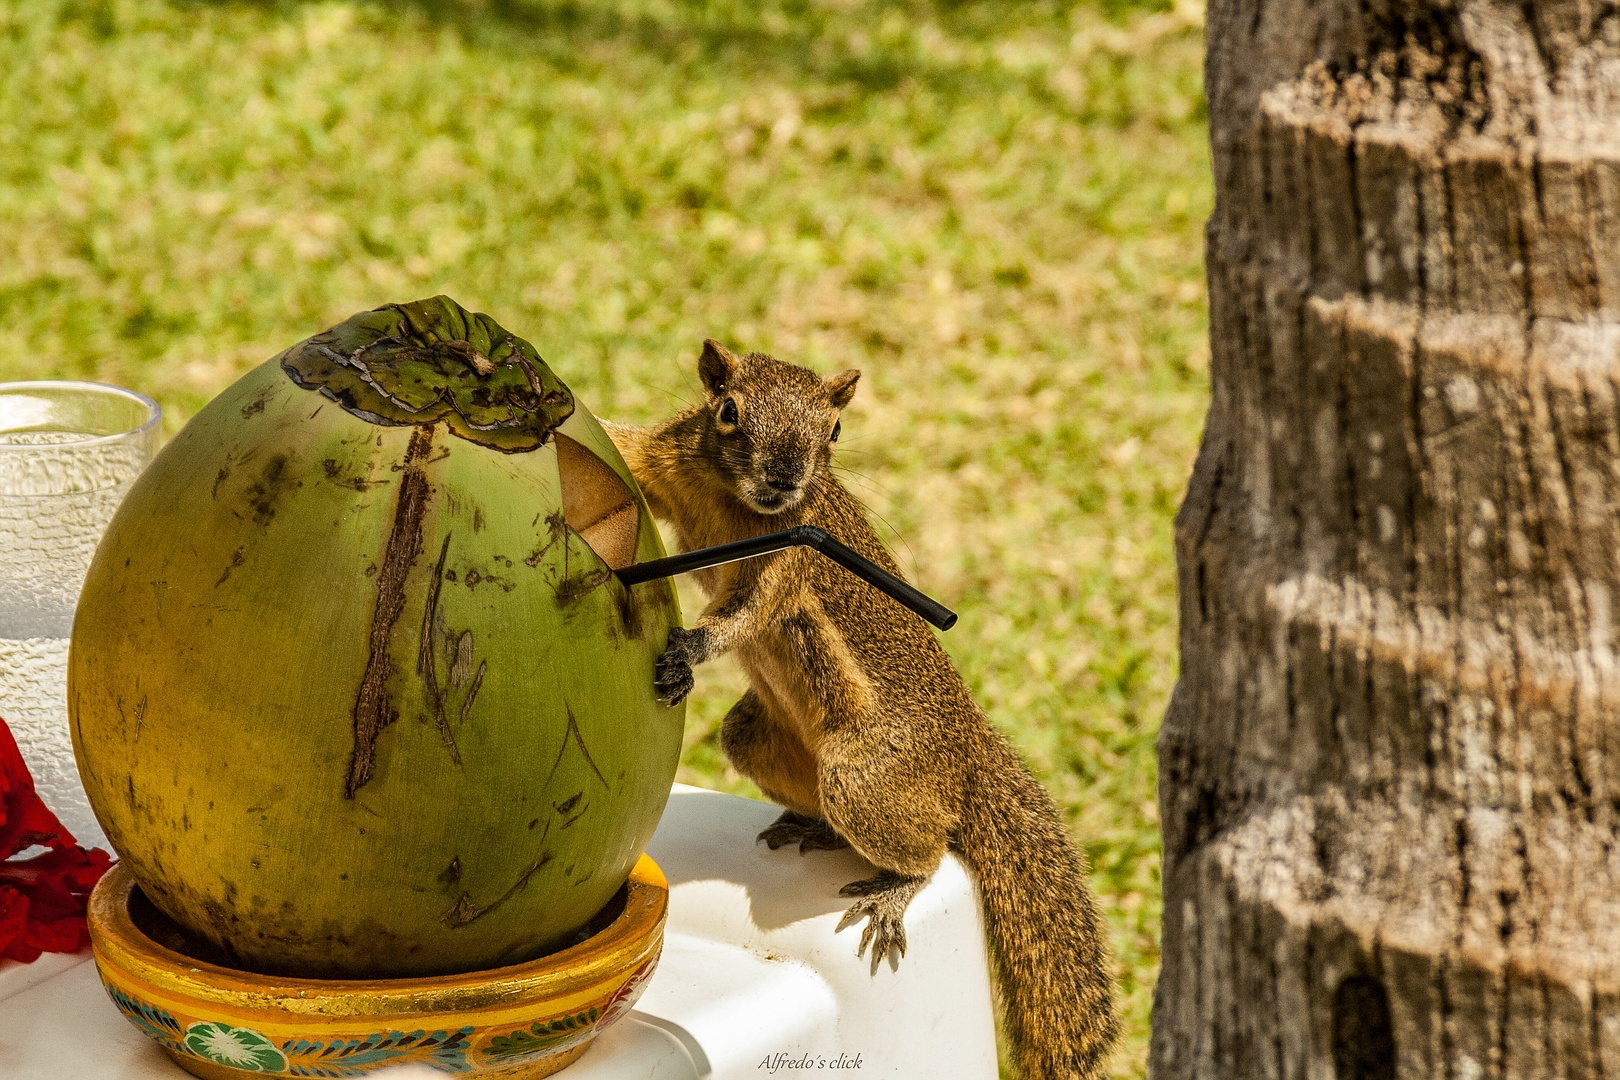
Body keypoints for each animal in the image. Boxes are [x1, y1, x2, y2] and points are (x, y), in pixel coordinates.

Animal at [602, 341, 1121, 1075]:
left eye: (835, 430)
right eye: (727, 410)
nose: (784, 480)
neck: (730, 500)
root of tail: (969, 751)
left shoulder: (783, 562)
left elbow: (743, 615)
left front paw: (690, 650)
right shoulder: (664, 459)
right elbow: (618, 441)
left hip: (864, 775)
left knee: (932, 851)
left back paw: (891, 890)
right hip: (755, 737)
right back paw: (814, 828)